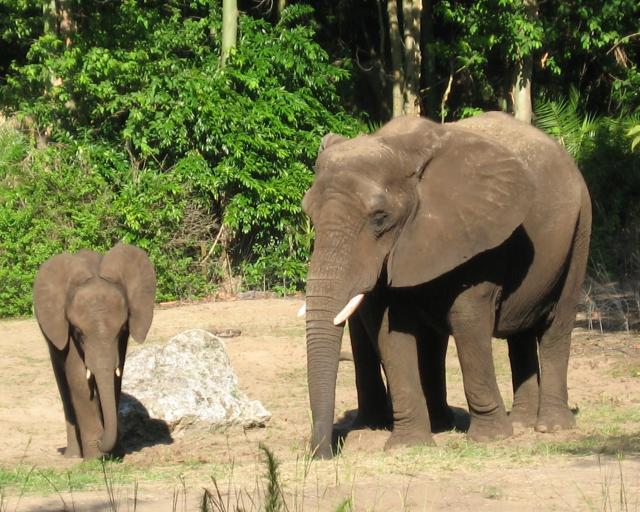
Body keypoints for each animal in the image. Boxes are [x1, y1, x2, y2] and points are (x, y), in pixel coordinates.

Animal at [33, 243, 156, 459]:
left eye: (122, 329)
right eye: (79, 332)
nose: (100, 442)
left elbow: (115, 378)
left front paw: (114, 454)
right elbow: (79, 379)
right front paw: (95, 459)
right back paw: (73, 456)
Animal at [302, 112, 591, 458]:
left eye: (380, 218)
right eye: (309, 215)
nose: (322, 454)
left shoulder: (475, 231)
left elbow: (467, 318)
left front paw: (490, 439)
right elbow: (390, 329)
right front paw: (409, 446)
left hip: (580, 225)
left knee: (556, 324)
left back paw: (550, 427)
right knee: (517, 333)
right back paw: (511, 423)